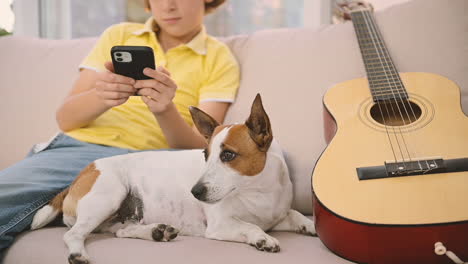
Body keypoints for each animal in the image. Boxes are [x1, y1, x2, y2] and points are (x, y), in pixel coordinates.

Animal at [29, 95, 314, 264]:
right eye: (205, 154)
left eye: (229, 155)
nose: (195, 192)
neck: (258, 189)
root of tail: (82, 174)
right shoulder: (221, 225)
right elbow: (251, 226)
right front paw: (262, 239)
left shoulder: (277, 216)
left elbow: (296, 215)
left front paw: (310, 226)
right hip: (109, 196)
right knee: (73, 234)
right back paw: (78, 253)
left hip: (118, 214)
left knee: (121, 230)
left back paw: (156, 231)